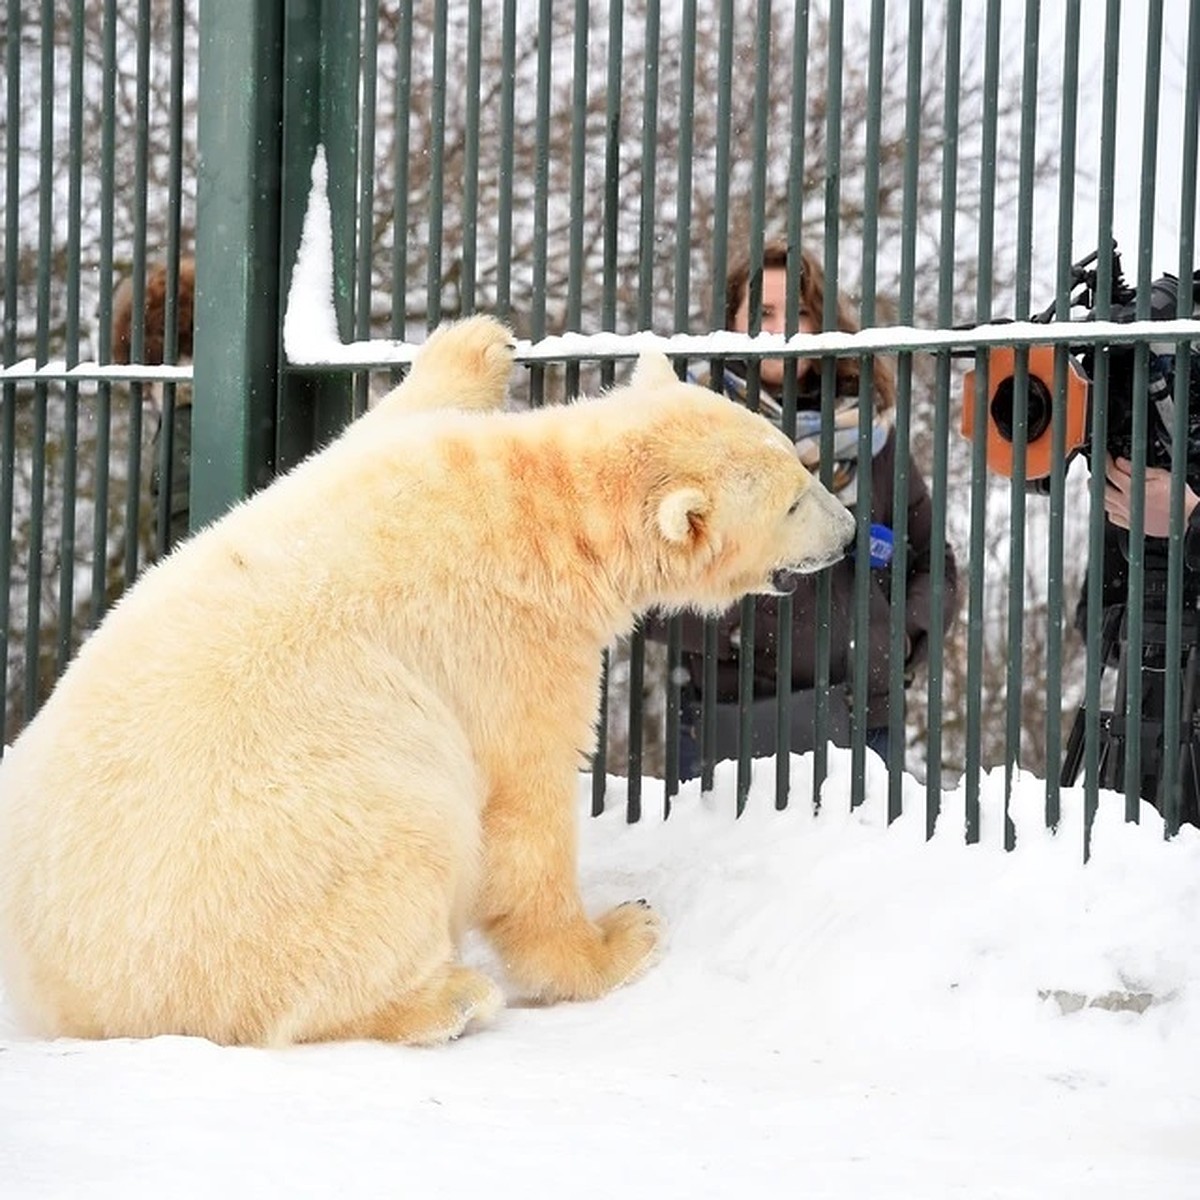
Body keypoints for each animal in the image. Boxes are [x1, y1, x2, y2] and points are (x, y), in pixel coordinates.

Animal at [0, 314, 859, 1046]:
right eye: (793, 501)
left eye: (800, 463)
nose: (851, 532)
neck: (548, 511)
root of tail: (58, 994)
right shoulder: (512, 639)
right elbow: (523, 809)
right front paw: (618, 937)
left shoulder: (399, 452)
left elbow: (380, 420)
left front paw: (478, 342)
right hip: (286, 847)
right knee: (391, 861)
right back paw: (446, 999)